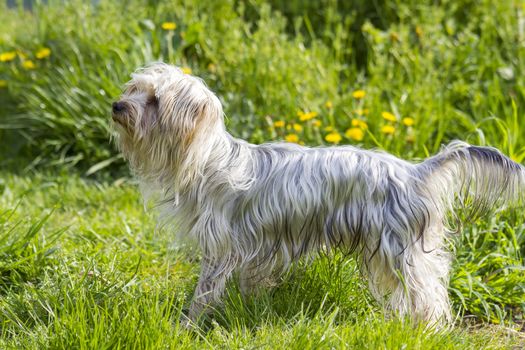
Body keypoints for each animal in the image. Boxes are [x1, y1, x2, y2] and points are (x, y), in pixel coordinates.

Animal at [111, 63, 524, 326]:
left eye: (155, 100)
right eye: (134, 90)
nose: (117, 106)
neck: (205, 160)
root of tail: (415, 171)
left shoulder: (220, 247)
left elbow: (204, 294)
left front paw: (187, 325)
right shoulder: (253, 248)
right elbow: (250, 284)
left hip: (398, 251)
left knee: (429, 295)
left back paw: (427, 330)